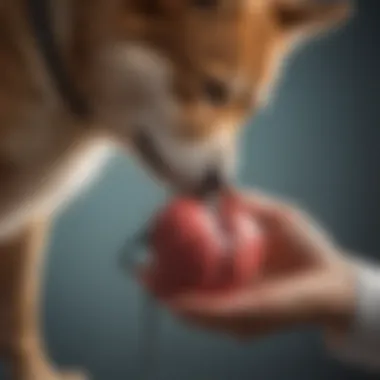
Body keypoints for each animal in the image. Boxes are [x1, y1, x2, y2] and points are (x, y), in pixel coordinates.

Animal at [0, 0, 350, 380]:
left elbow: (20, 315)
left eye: (251, 108)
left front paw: (36, 373)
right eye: (214, 90)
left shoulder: (30, 213)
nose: (218, 185)